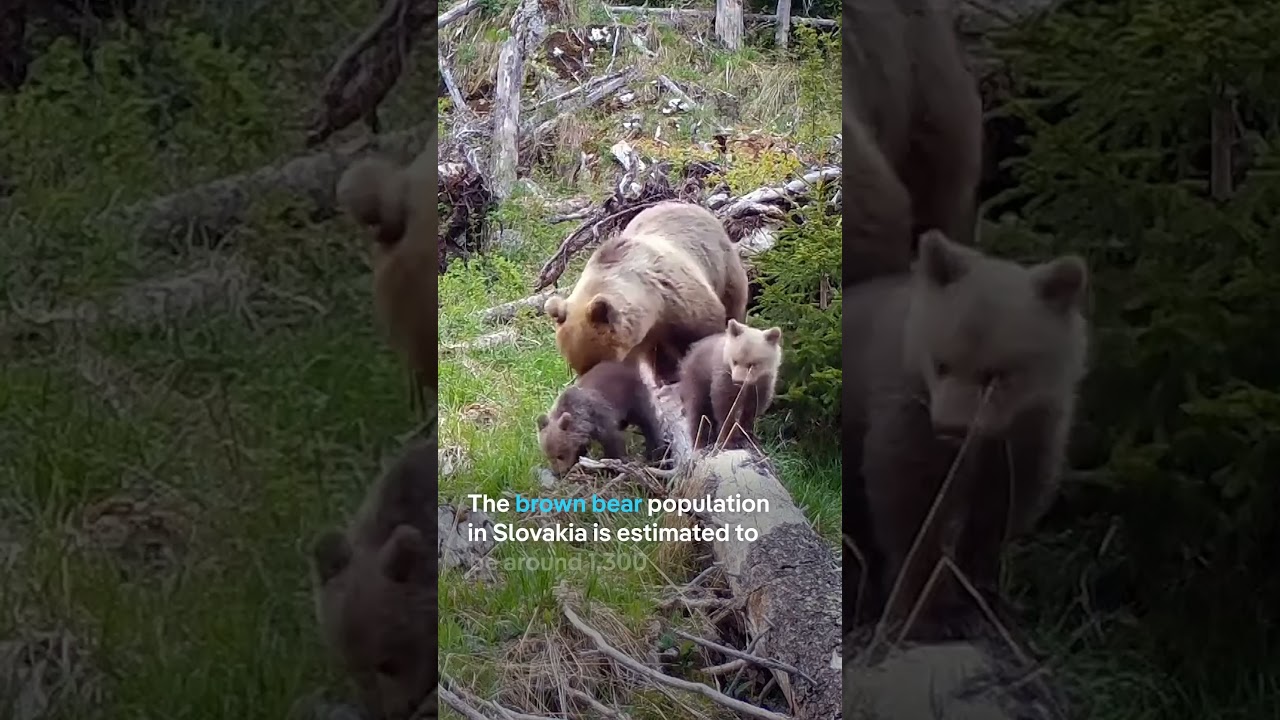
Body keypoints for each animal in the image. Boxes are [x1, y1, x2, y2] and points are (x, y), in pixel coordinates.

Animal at [537, 360, 666, 475]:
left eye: (560, 455)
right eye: (548, 456)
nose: (557, 473)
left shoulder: (602, 419)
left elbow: (614, 442)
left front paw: (613, 467)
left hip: (634, 400)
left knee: (647, 421)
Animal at [544, 201, 749, 386]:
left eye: (597, 362)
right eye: (574, 366)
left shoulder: (679, 300)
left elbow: (705, 327)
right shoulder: (648, 337)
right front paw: (667, 377)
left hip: (723, 266)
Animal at [678, 318, 784, 451]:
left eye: (752, 364)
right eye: (735, 361)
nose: (738, 380)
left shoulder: (762, 383)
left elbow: (753, 408)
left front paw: (749, 437)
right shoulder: (724, 375)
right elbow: (725, 407)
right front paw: (730, 441)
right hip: (697, 377)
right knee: (697, 409)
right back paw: (700, 442)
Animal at [842, 230, 1088, 640]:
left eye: (997, 374)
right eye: (941, 363)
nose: (951, 426)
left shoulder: (1028, 430)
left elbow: (1003, 509)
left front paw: (983, 597)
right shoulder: (907, 408)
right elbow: (913, 506)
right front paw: (931, 611)